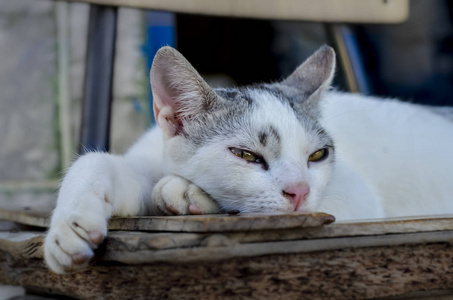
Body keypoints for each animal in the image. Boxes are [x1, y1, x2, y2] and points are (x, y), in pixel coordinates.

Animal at [43, 45, 452, 274]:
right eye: (245, 155)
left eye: (317, 155)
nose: (299, 192)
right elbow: (95, 163)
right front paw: (69, 228)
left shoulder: (353, 197)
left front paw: (190, 194)